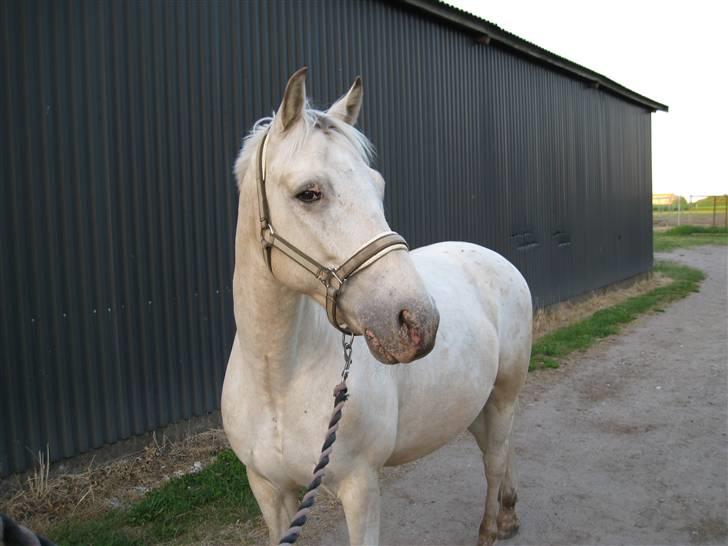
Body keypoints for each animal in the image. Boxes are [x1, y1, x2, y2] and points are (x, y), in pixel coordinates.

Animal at [219, 68, 532, 544]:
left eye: (378, 186)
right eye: (308, 193)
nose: (418, 321)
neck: (278, 381)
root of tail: (496, 258)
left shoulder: (359, 487)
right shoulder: (269, 492)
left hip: (503, 394)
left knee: (494, 461)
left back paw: (492, 527)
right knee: (500, 447)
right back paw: (509, 512)